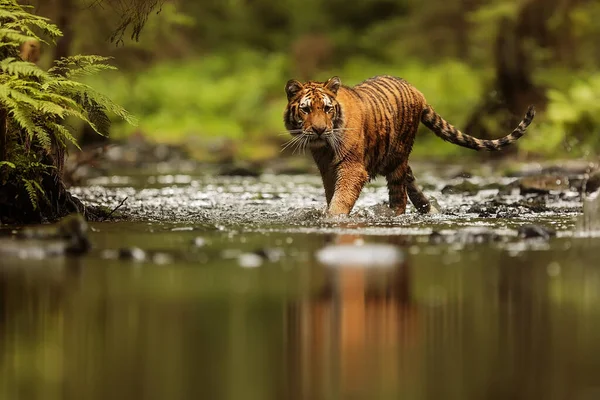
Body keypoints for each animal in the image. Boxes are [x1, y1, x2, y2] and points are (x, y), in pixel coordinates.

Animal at [284, 76, 536, 219]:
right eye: (306, 109)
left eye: (327, 109)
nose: (319, 129)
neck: (324, 146)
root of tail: (417, 91)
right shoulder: (327, 169)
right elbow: (331, 194)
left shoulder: (352, 168)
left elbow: (341, 197)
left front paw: (333, 218)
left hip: (397, 159)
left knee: (400, 199)